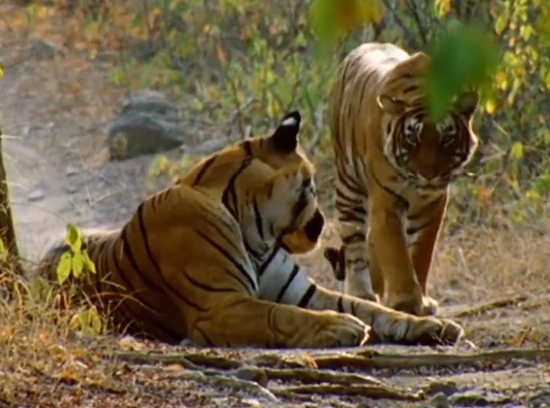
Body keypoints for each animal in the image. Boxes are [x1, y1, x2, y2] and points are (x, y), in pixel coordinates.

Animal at [40, 110, 466, 350]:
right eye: (312, 184)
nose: (322, 224)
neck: (255, 231)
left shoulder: (307, 292)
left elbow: (371, 306)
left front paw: (432, 324)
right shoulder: (220, 305)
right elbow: (280, 315)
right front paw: (342, 326)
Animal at [330, 43, 480, 318]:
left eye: (446, 138)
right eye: (412, 139)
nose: (429, 175)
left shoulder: (432, 204)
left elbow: (420, 252)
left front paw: (422, 301)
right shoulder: (386, 201)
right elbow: (396, 252)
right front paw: (405, 302)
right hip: (348, 187)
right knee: (354, 242)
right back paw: (361, 293)